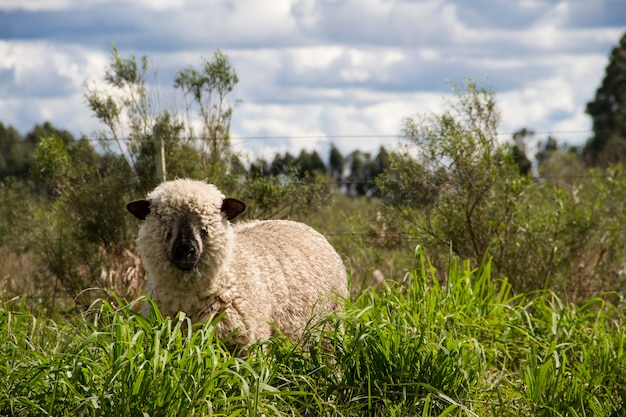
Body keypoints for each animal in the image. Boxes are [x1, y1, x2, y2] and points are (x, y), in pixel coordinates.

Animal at [127, 177, 348, 350]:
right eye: (161, 217)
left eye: (209, 219)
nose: (186, 249)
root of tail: (302, 225)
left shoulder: (248, 345)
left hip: (331, 327)